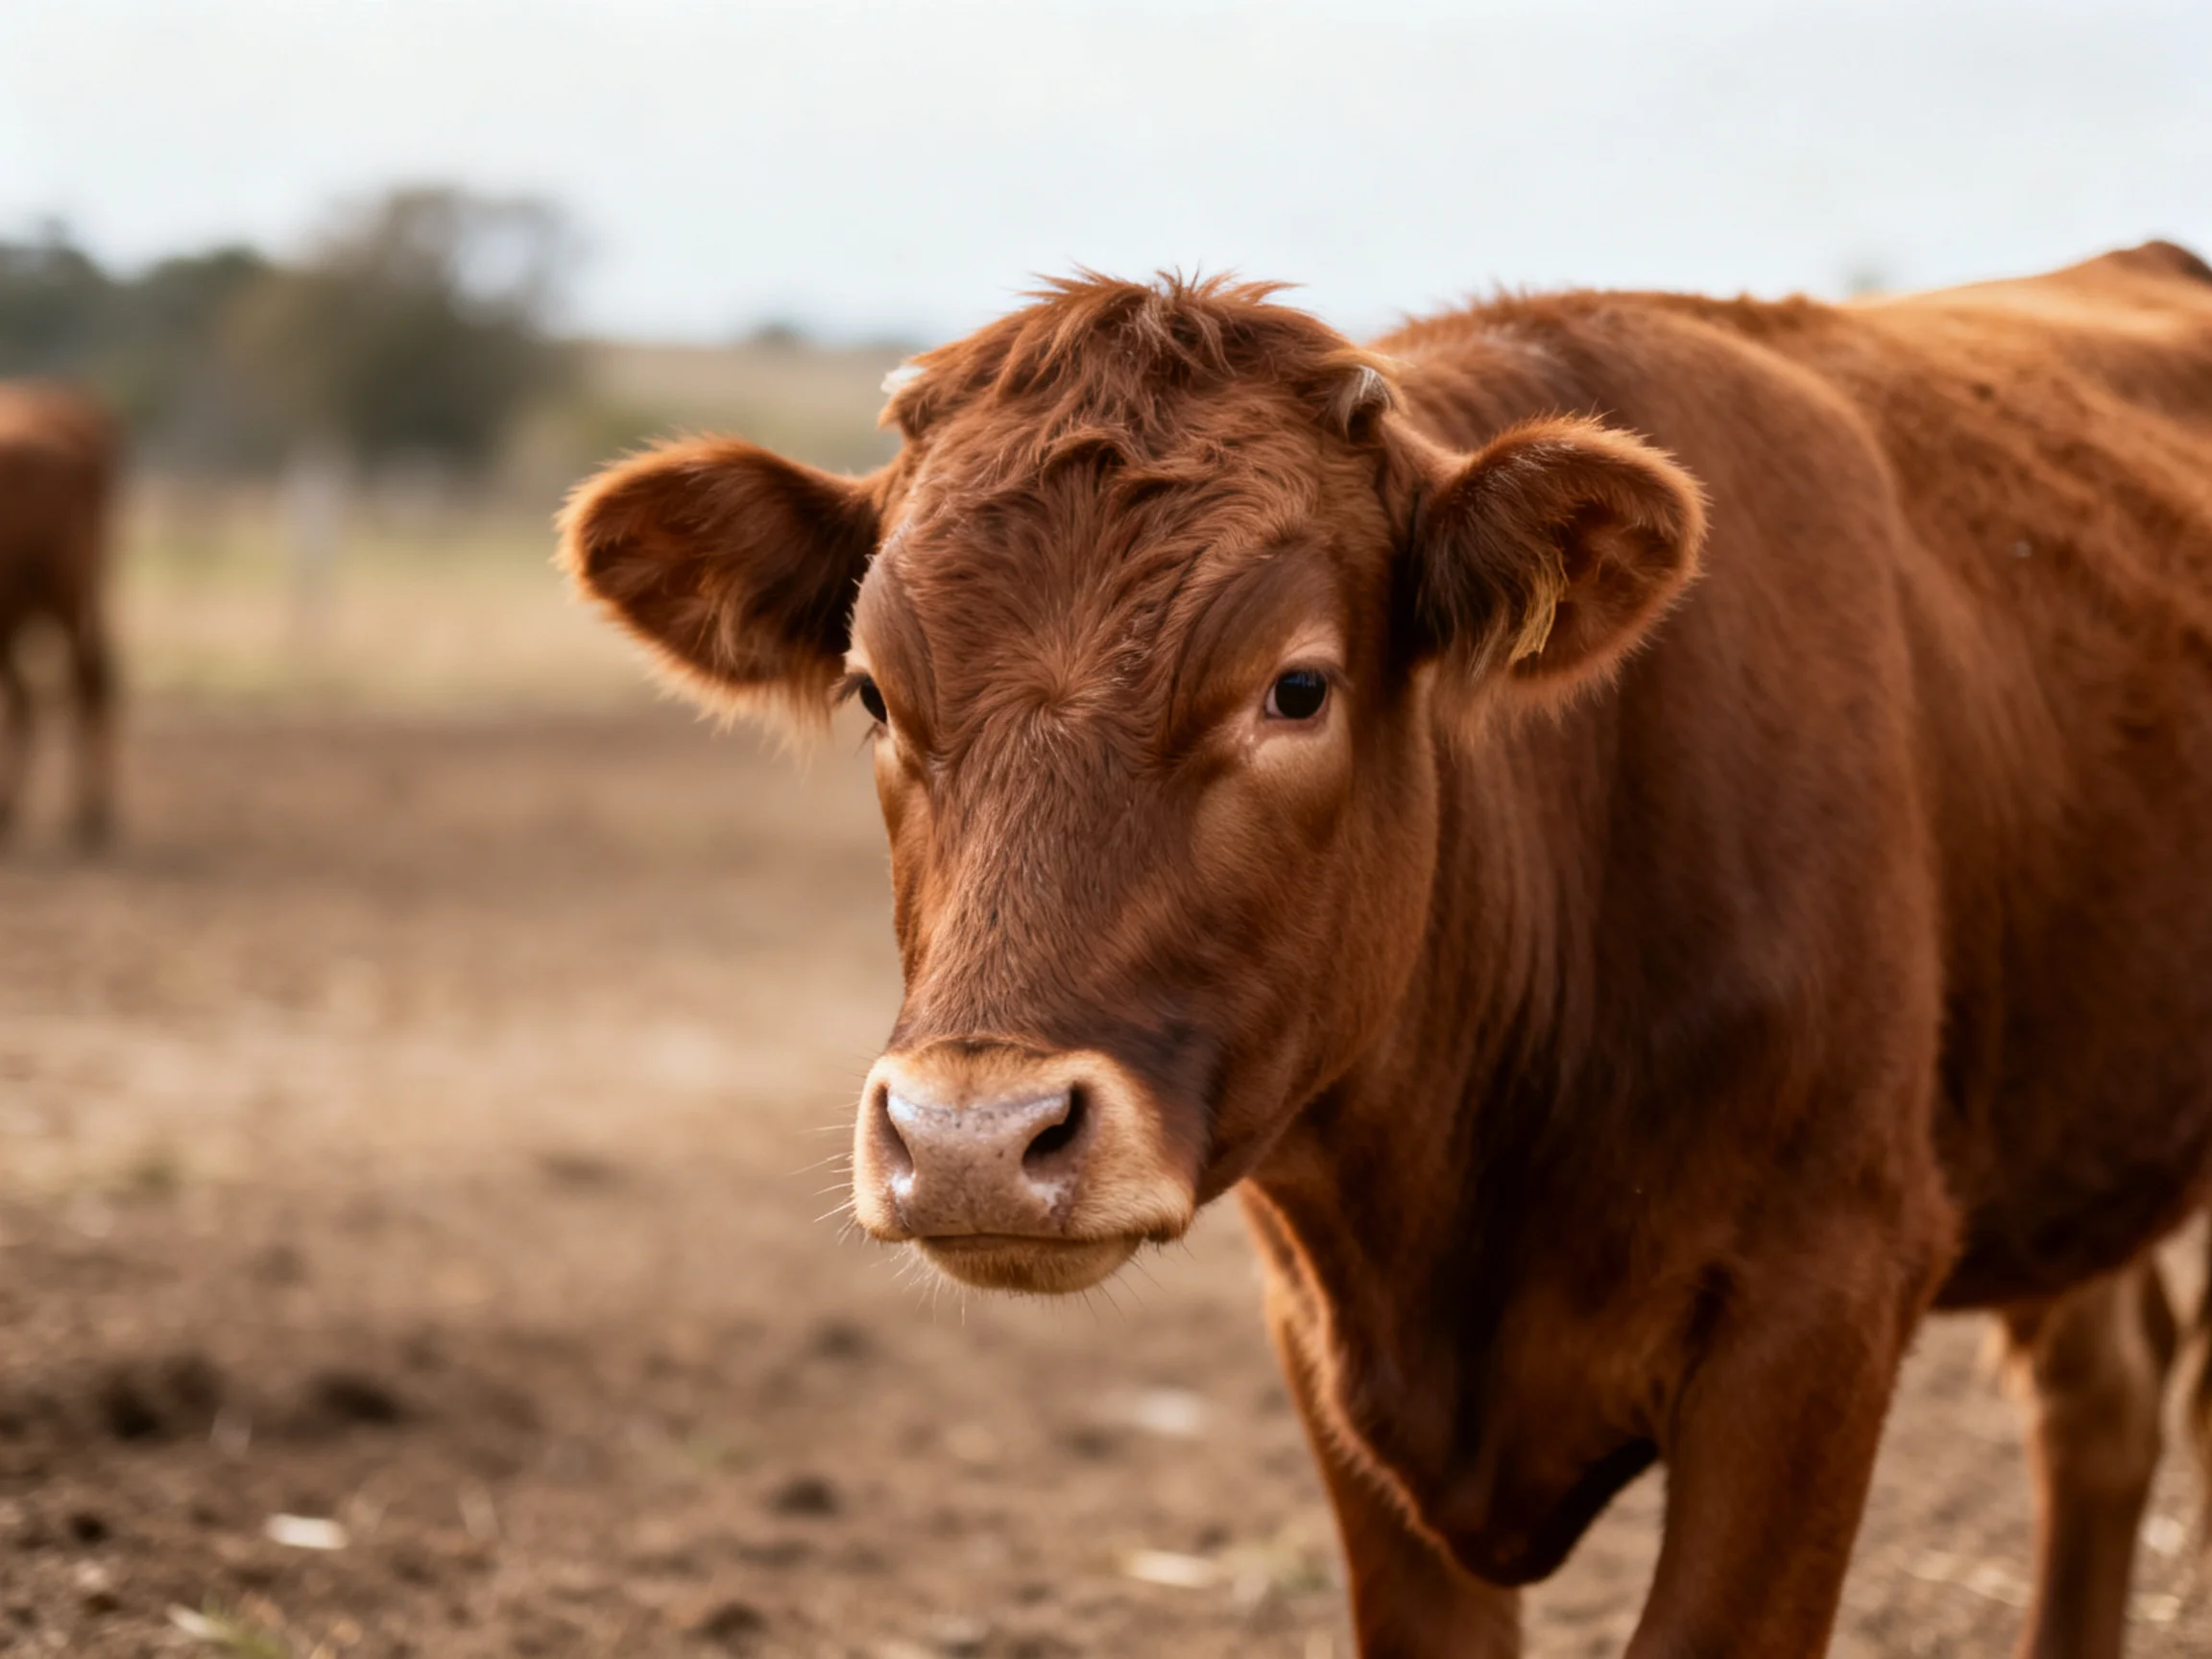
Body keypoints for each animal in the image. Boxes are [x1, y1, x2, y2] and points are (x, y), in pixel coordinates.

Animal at [561, 242, 2212, 1657]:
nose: (974, 1140)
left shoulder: (1823, 1304)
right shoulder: (1333, 1356)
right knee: (2105, 1394)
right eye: (873, 693)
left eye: (1297, 687)